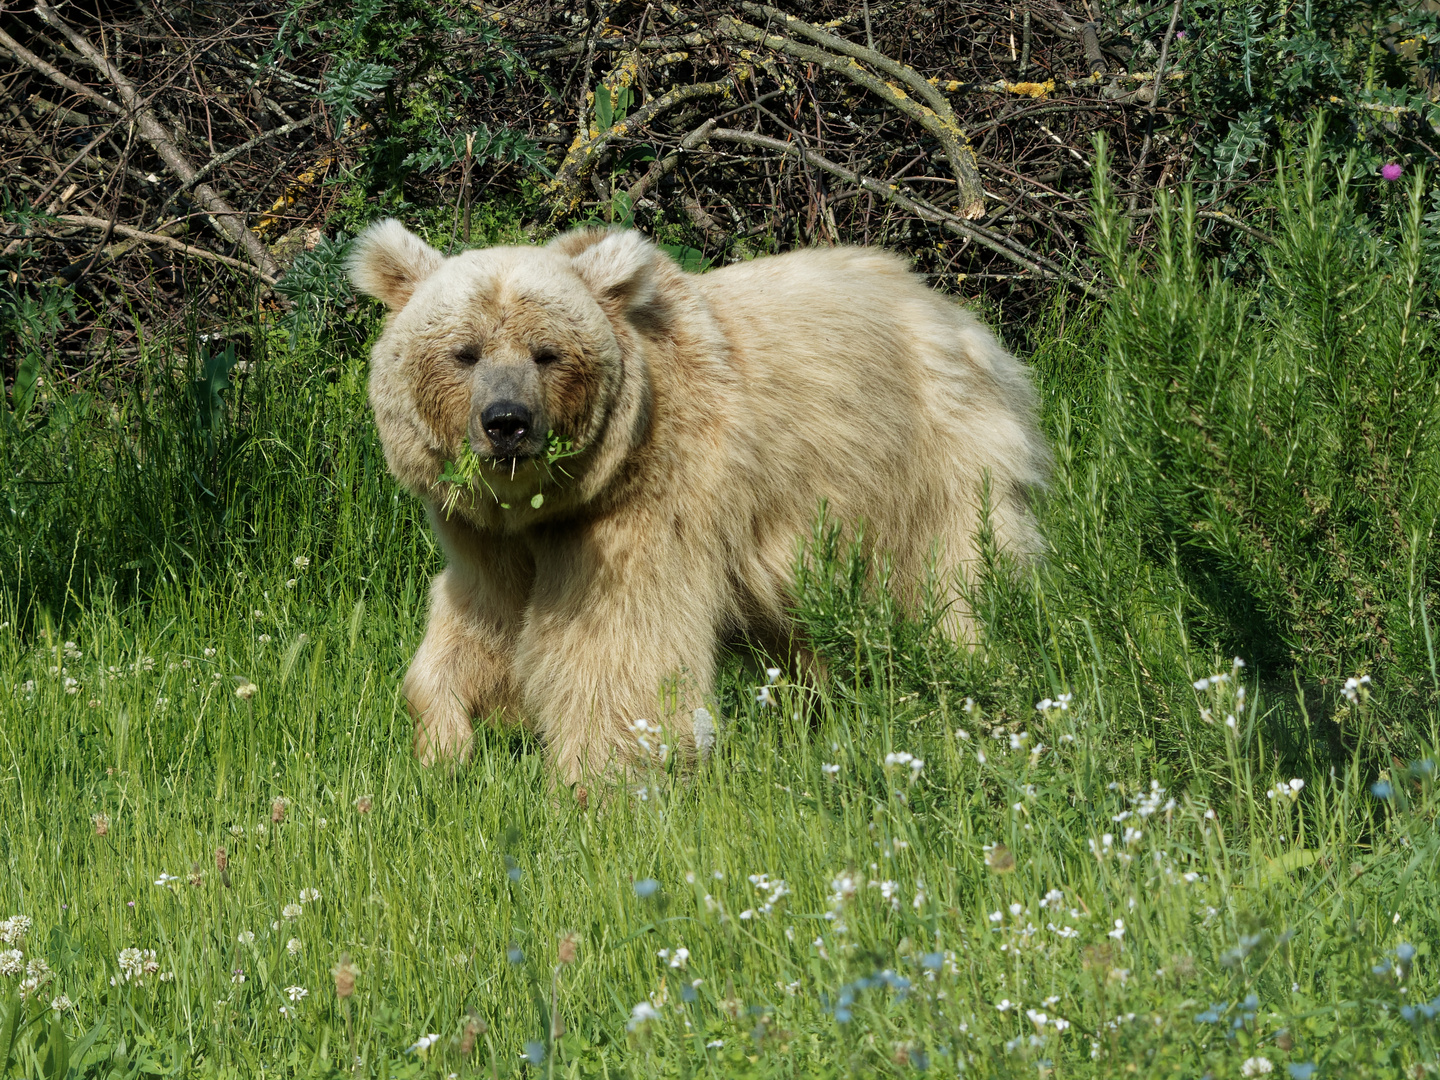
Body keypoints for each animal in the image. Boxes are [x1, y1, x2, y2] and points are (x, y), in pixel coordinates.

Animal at [345, 226, 1048, 789]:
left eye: (547, 352)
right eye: (464, 352)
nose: (507, 422)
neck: (548, 505)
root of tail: (953, 313)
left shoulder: (643, 502)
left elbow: (618, 643)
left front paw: (599, 782)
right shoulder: (486, 537)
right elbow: (477, 623)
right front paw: (444, 743)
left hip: (929, 460)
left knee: (952, 579)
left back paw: (967, 676)